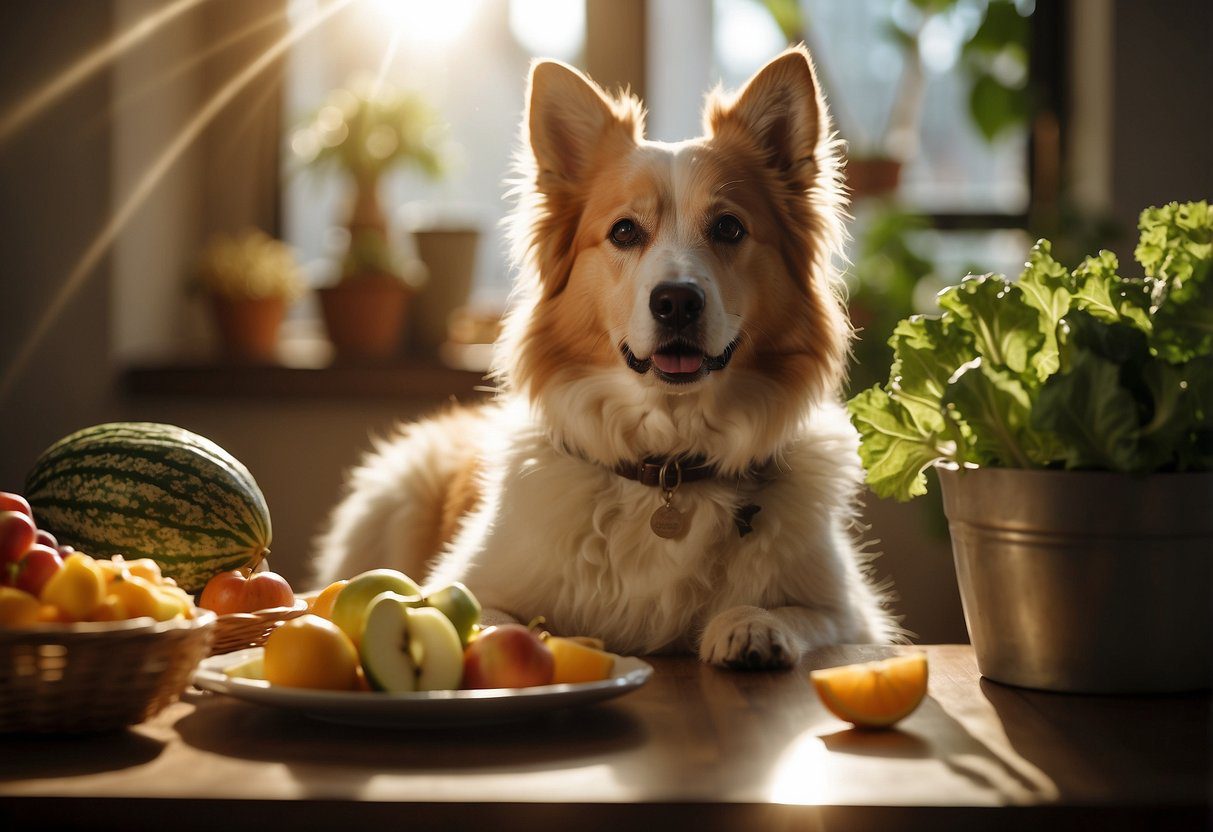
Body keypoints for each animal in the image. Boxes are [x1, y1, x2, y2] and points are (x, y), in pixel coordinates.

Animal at [317, 45, 897, 669]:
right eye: (623, 232)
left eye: (728, 227)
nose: (676, 301)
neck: (668, 464)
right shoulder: (472, 583)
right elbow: (487, 620)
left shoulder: (852, 612)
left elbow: (808, 618)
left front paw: (751, 624)